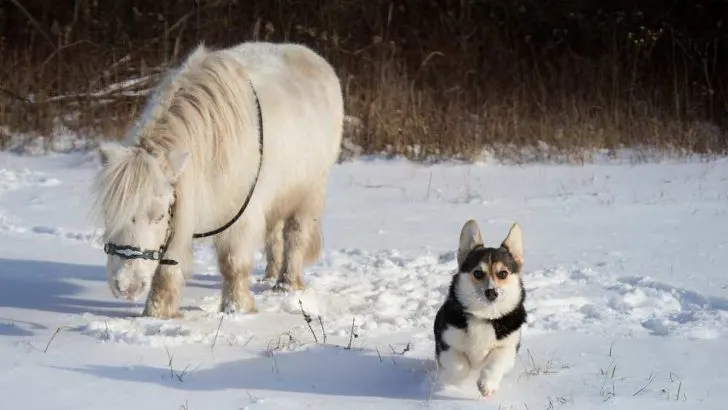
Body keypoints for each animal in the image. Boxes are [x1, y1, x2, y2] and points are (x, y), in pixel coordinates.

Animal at [90, 41, 344, 318]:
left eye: (158, 216)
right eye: (110, 214)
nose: (127, 287)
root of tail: (316, 59)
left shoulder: (241, 214)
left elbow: (233, 264)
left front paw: (237, 309)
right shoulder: (182, 208)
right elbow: (167, 268)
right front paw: (157, 314)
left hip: (309, 191)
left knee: (295, 236)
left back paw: (286, 284)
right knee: (274, 234)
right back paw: (269, 276)